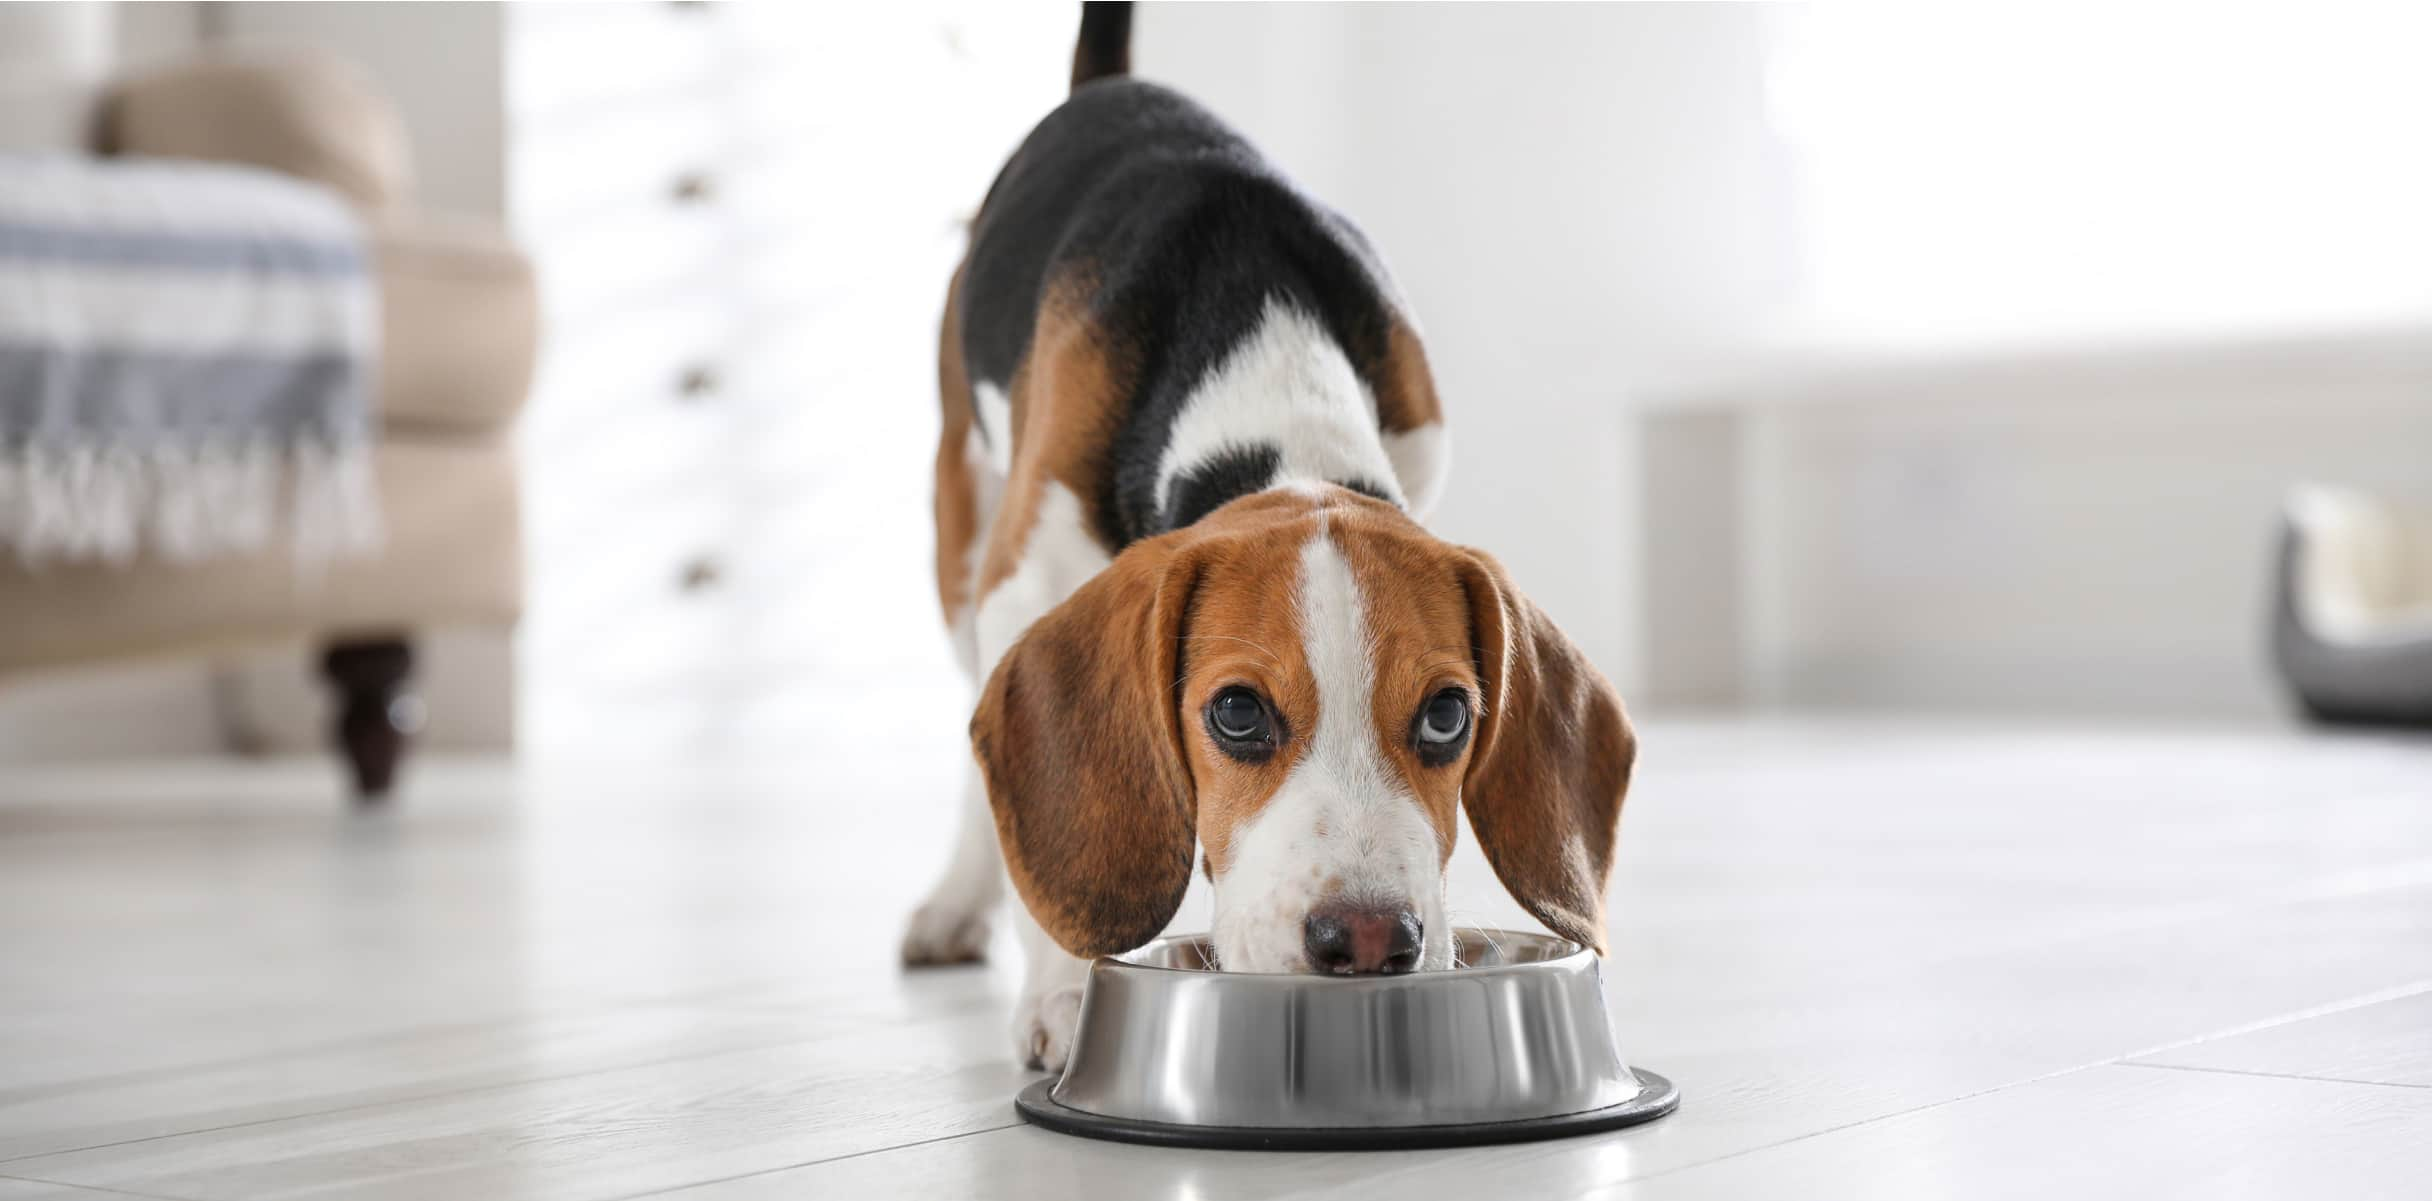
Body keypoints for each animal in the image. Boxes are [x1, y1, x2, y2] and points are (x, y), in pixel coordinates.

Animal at [899, 0, 1634, 1069]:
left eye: (1448, 715)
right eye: (1237, 713)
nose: (1369, 940)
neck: (1266, 374)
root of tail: (1112, 84)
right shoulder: (1025, 581)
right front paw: (1066, 991)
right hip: (963, 531)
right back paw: (956, 901)